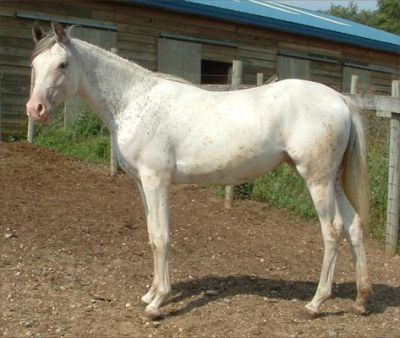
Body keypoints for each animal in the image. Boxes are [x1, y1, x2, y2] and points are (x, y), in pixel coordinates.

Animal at [27, 23, 372, 320]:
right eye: (34, 64)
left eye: (62, 64)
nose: (35, 110)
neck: (134, 101)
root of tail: (339, 98)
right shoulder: (141, 183)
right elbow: (151, 234)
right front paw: (150, 293)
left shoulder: (156, 181)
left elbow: (162, 237)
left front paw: (157, 303)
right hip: (332, 182)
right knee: (353, 225)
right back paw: (361, 299)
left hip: (317, 181)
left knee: (332, 231)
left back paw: (315, 303)